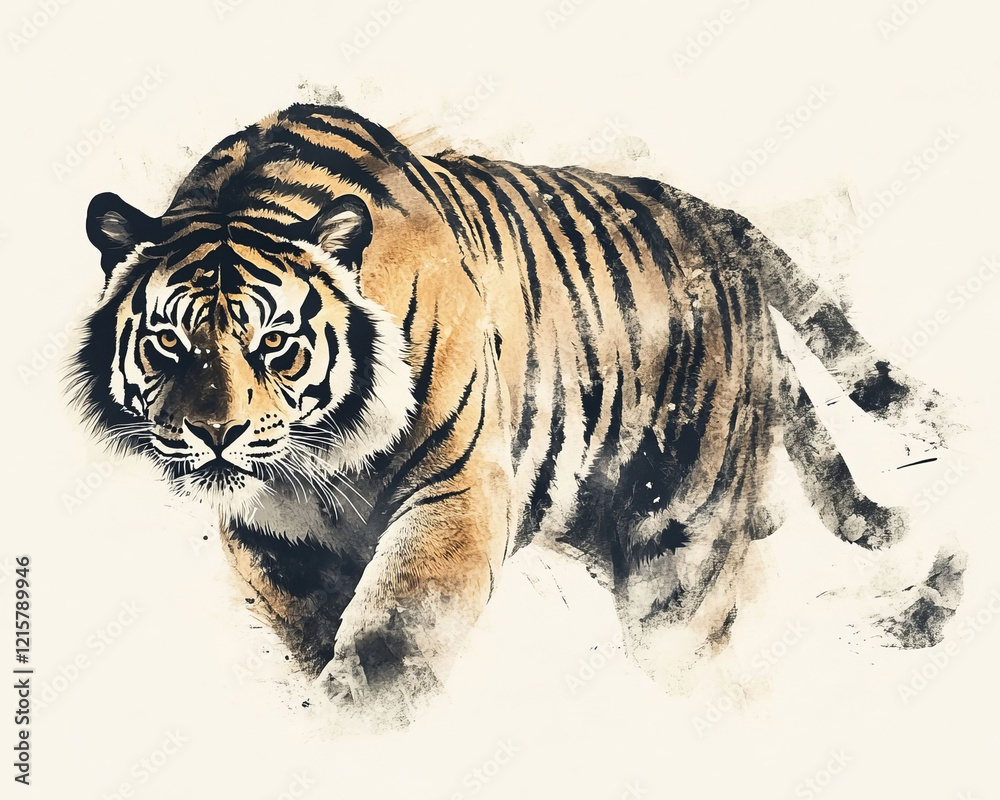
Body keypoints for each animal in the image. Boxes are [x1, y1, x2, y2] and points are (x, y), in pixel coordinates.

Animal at [70, 101, 953, 712]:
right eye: (167, 344)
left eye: (275, 344)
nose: (214, 435)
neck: (315, 466)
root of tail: (712, 214)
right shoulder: (272, 535)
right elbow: (318, 629)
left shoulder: (453, 493)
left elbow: (391, 643)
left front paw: (352, 723)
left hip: (681, 540)